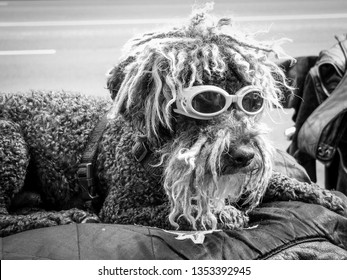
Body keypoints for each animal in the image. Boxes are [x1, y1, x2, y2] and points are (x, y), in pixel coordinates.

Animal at [0, 6, 346, 236]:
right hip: (12, 145)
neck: (161, 151)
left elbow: (282, 182)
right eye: (206, 101)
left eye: (252, 100)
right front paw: (224, 214)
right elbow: (180, 211)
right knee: (3, 219)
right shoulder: (121, 208)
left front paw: (327, 196)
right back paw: (64, 217)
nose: (245, 155)